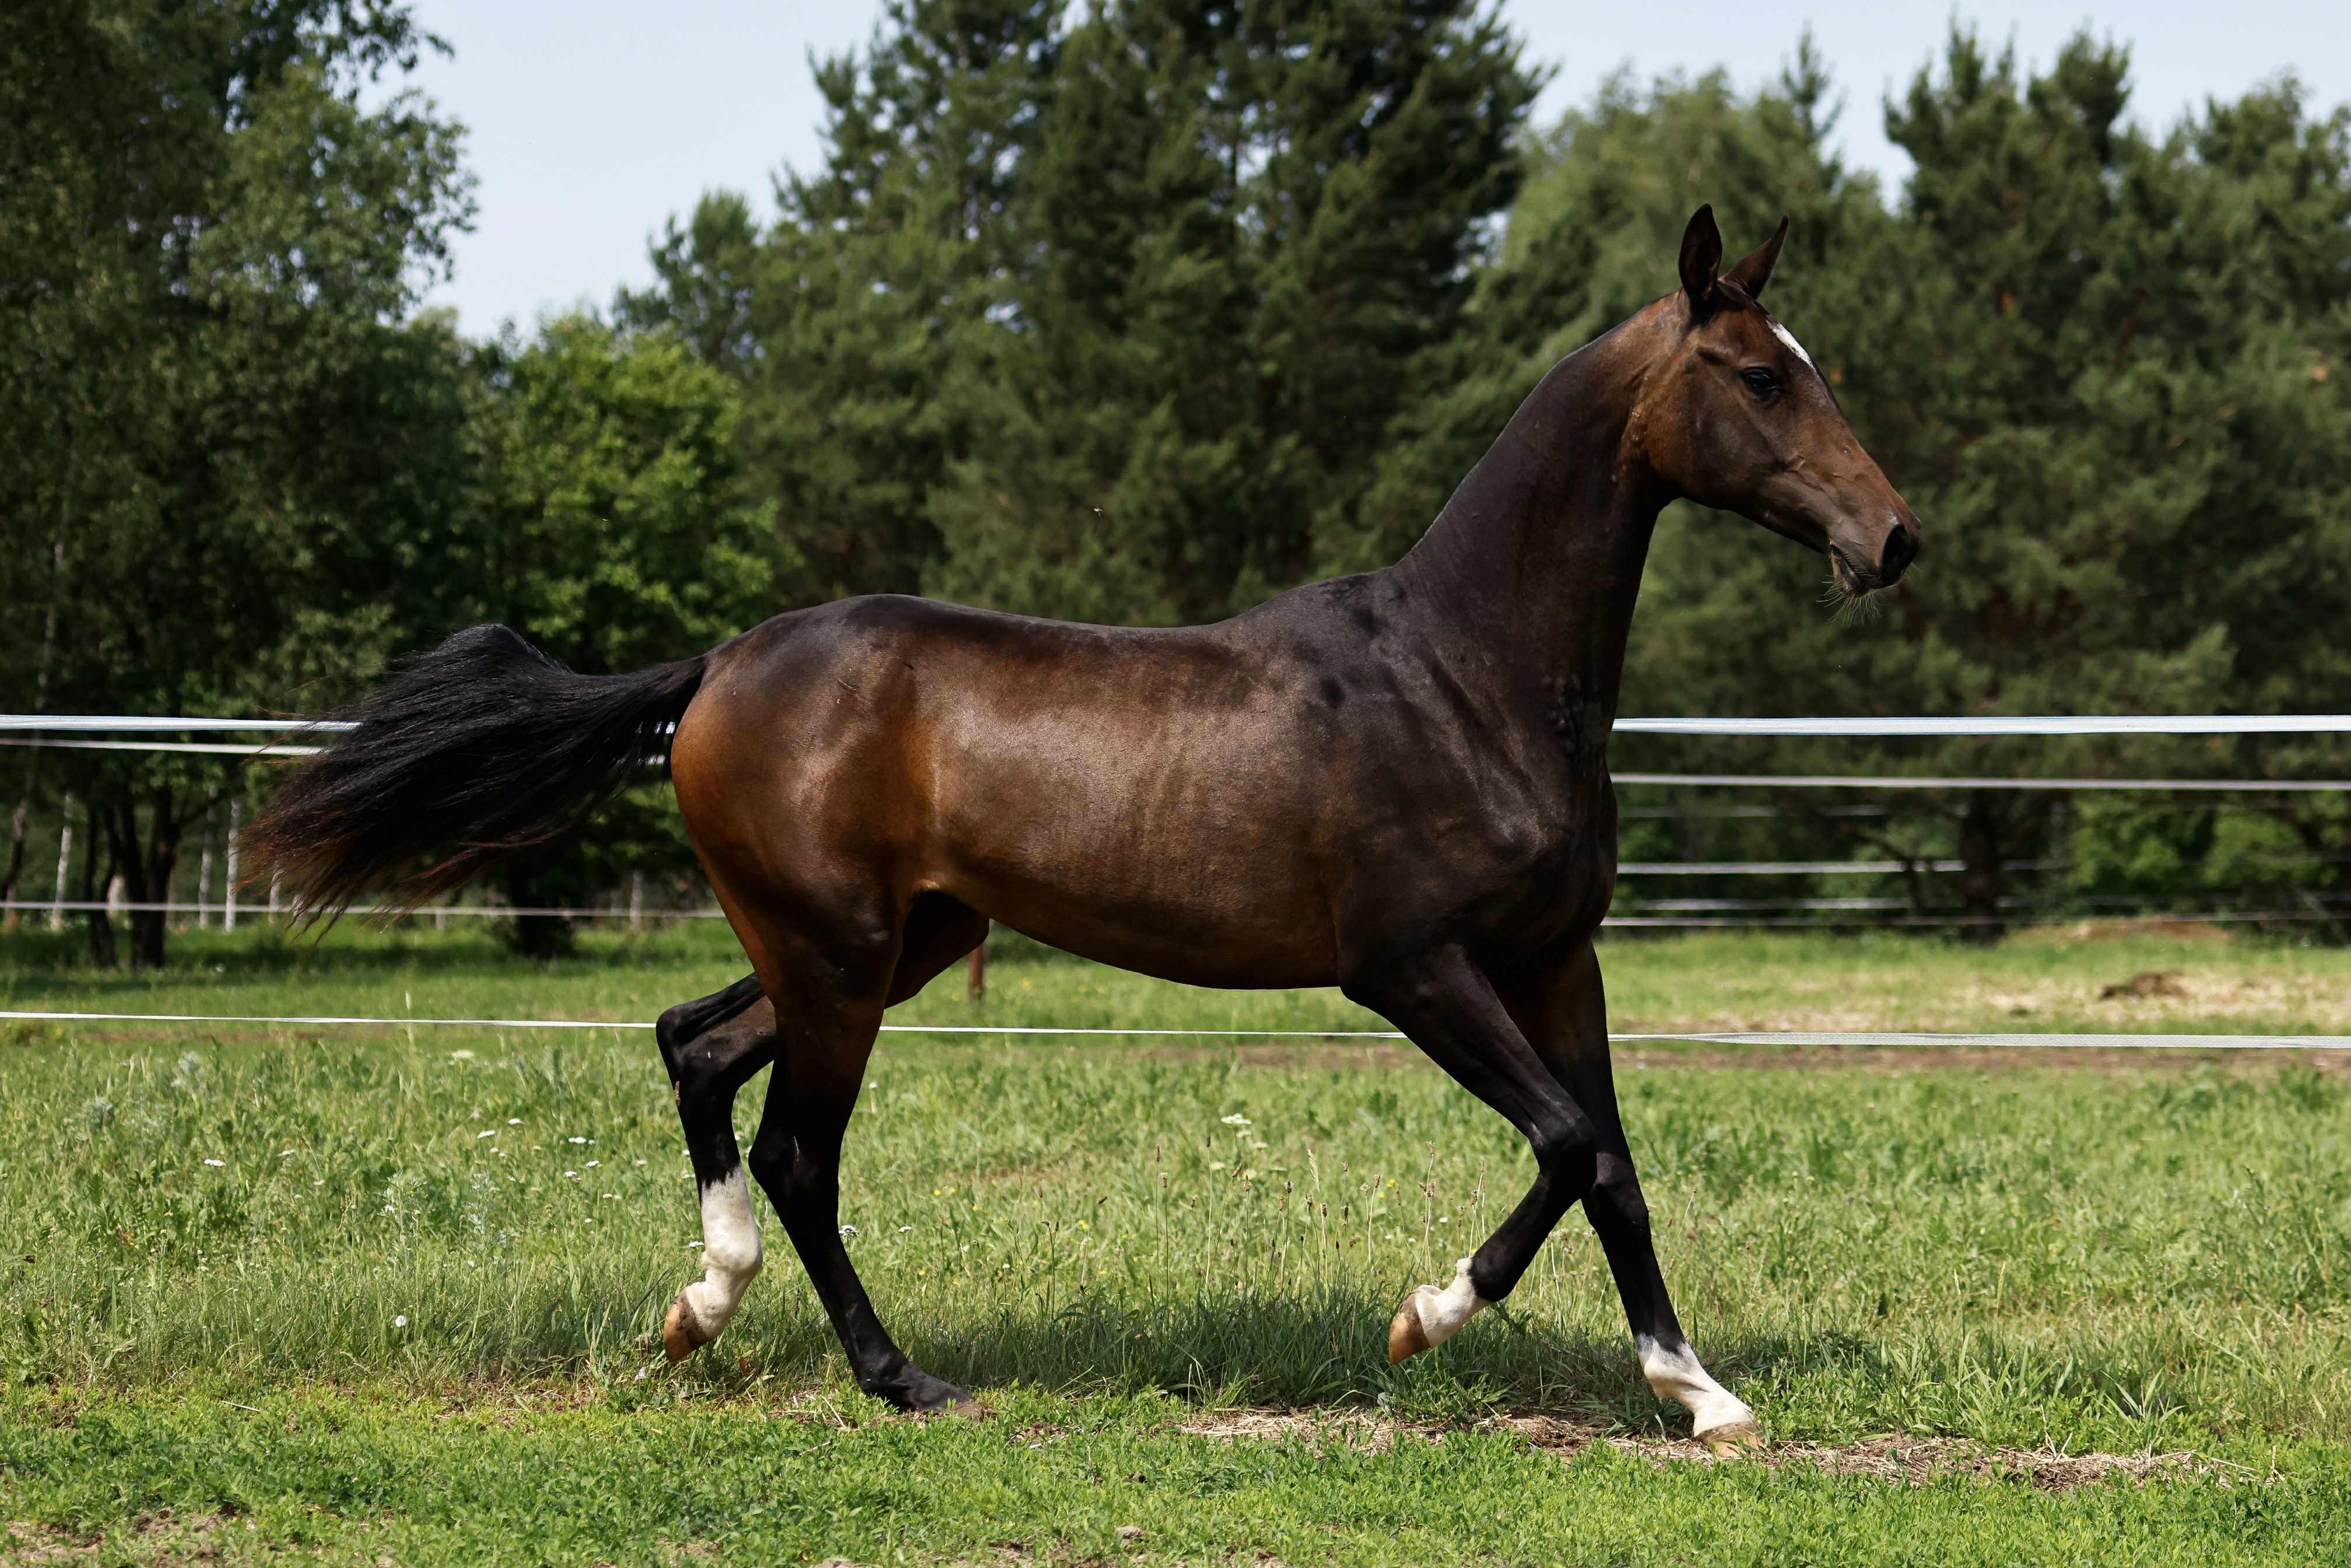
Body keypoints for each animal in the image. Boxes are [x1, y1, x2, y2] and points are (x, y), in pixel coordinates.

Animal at [244, 207, 1920, 1446]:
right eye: (1760, 376)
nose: (1895, 540)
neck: (1469, 675)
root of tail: (720, 663)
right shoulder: (1413, 966)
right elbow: (1568, 1141)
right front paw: (1421, 1318)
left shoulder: (1559, 960)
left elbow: (1614, 1163)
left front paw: (1700, 1393)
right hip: (839, 957)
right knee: (796, 1148)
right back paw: (902, 1379)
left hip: (889, 940)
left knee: (694, 1048)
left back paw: (698, 1310)